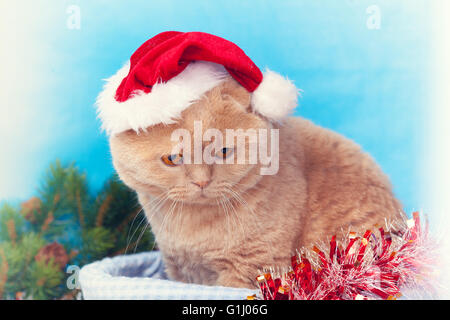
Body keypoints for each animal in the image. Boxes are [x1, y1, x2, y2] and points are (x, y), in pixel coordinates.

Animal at [108, 77, 404, 288]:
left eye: (223, 151)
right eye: (172, 158)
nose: (202, 182)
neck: (194, 229)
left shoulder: (250, 269)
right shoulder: (180, 269)